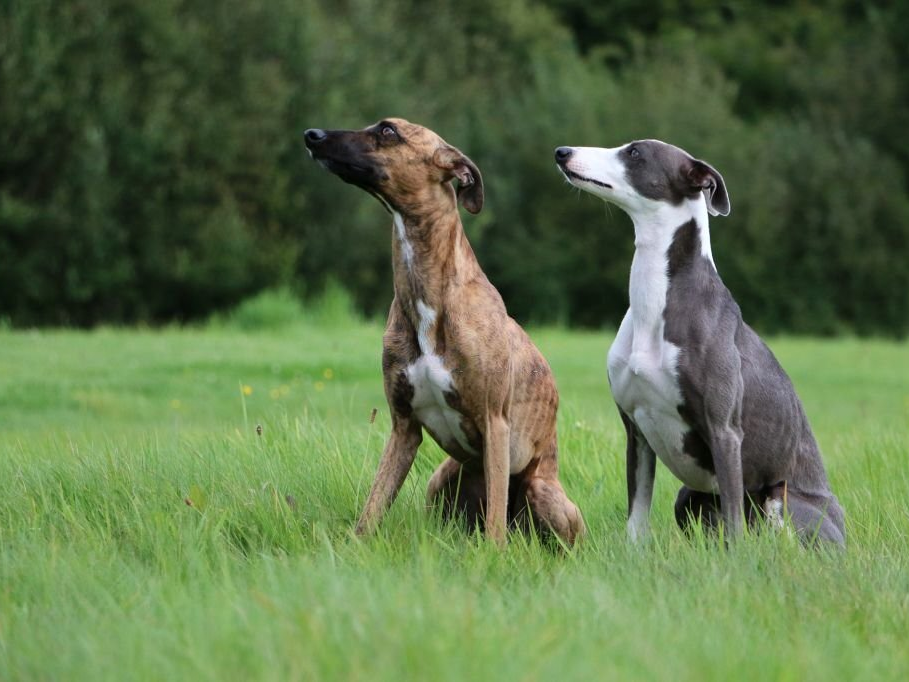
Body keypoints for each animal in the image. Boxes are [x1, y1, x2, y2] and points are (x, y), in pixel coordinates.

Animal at [302, 117, 584, 540]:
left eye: (388, 131)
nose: (311, 135)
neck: (429, 298)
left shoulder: (496, 423)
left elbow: (495, 526)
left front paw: (493, 553)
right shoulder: (403, 429)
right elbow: (372, 508)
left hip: (541, 490)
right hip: (443, 479)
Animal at [552, 141, 844, 544]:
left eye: (635, 153)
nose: (562, 152)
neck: (656, 303)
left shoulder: (725, 432)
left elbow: (734, 524)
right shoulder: (636, 429)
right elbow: (637, 518)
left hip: (781, 500)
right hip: (688, 495)